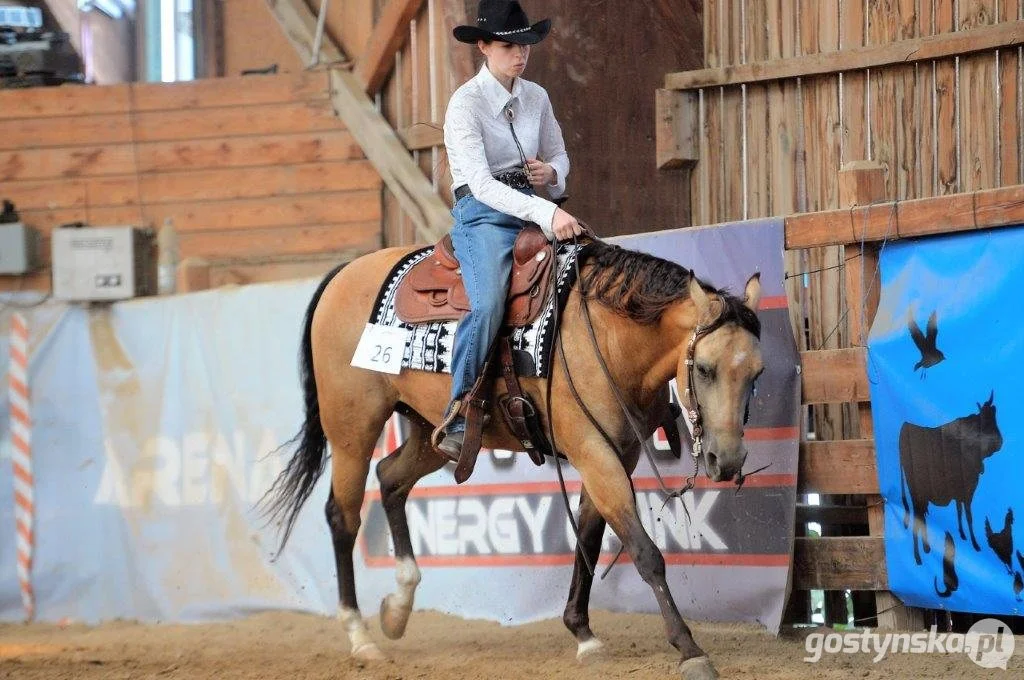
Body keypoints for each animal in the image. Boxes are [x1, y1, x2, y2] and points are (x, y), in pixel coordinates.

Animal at [260, 238, 765, 680]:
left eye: (757, 373)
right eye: (705, 369)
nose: (727, 460)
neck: (606, 338)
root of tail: (345, 273)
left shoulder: (615, 456)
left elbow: (589, 535)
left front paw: (583, 634)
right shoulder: (594, 453)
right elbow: (645, 553)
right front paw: (690, 649)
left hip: (429, 432)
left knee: (390, 478)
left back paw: (398, 608)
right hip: (352, 431)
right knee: (343, 516)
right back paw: (360, 637)